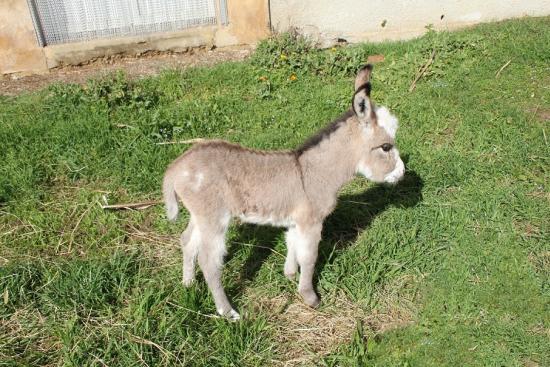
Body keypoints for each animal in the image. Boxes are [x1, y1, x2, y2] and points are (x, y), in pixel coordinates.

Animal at [163, 65, 406, 320]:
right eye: (386, 147)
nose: (402, 173)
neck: (313, 172)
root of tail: (176, 167)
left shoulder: (296, 220)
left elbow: (292, 245)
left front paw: (290, 275)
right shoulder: (311, 222)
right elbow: (309, 257)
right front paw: (310, 297)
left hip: (200, 215)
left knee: (187, 240)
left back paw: (188, 283)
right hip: (214, 217)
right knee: (209, 262)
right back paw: (229, 313)